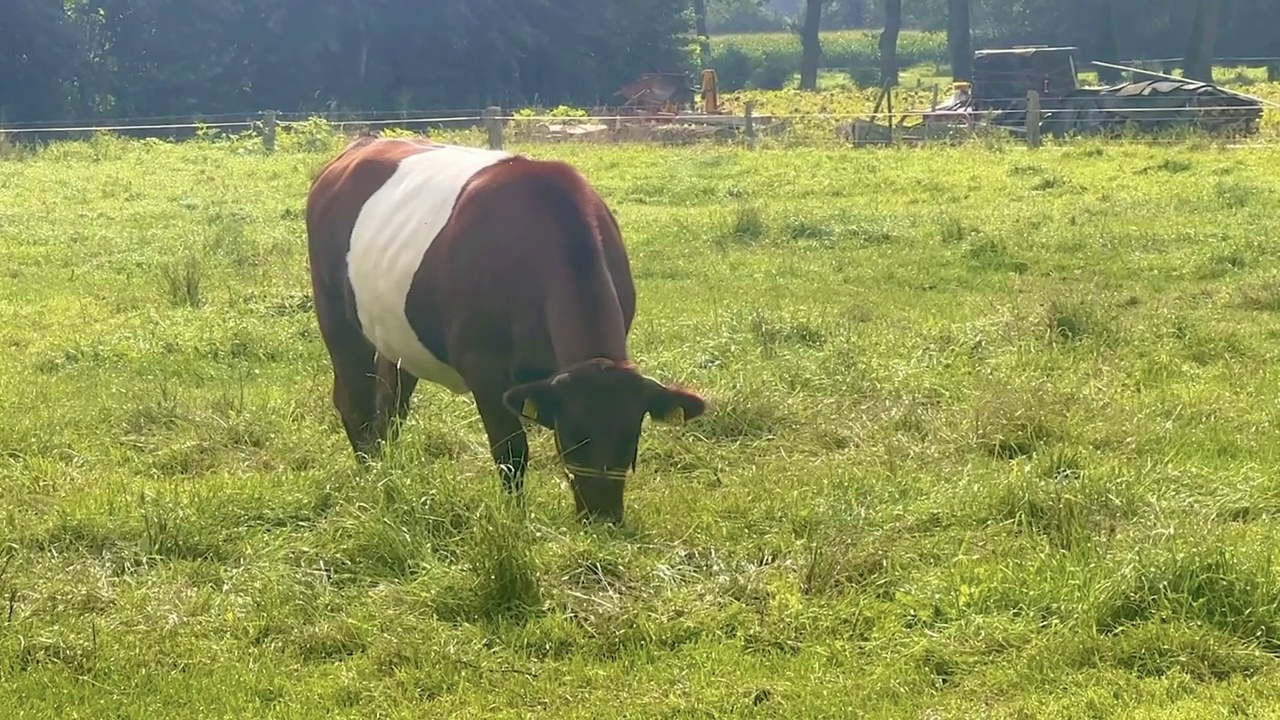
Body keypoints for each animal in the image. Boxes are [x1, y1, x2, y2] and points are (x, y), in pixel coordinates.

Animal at [304, 134, 711, 520]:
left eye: (632, 436)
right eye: (573, 435)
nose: (603, 516)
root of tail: (359, 146)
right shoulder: (485, 370)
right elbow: (511, 452)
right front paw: (515, 520)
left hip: (397, 334)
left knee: (389, 404)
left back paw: (386, 473)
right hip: (334, 313)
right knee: (355, 400)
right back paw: (371, 480)